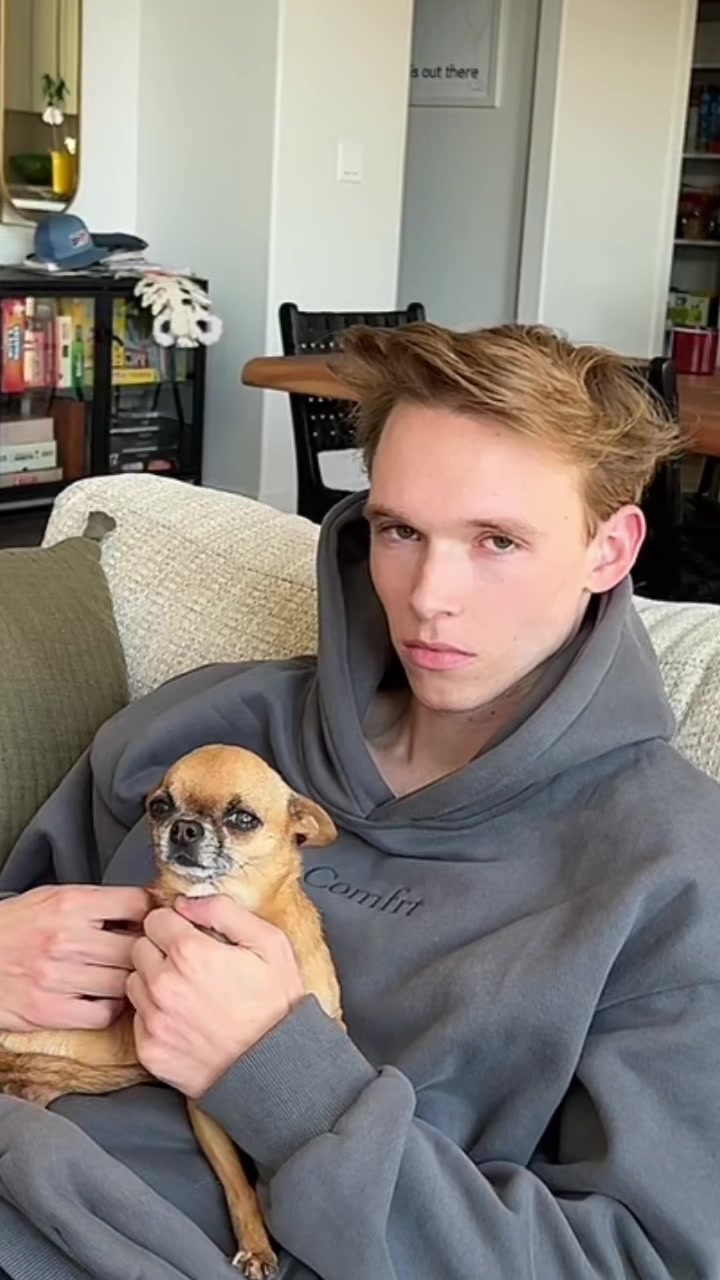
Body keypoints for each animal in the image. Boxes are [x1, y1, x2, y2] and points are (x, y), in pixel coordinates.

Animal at [0, 745, 343, 1279]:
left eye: (243, 818)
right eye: (160, 807)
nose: (183, 828)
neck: (221, 916)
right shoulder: (202, 1108)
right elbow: (238, 1185)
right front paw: (257, 1246)